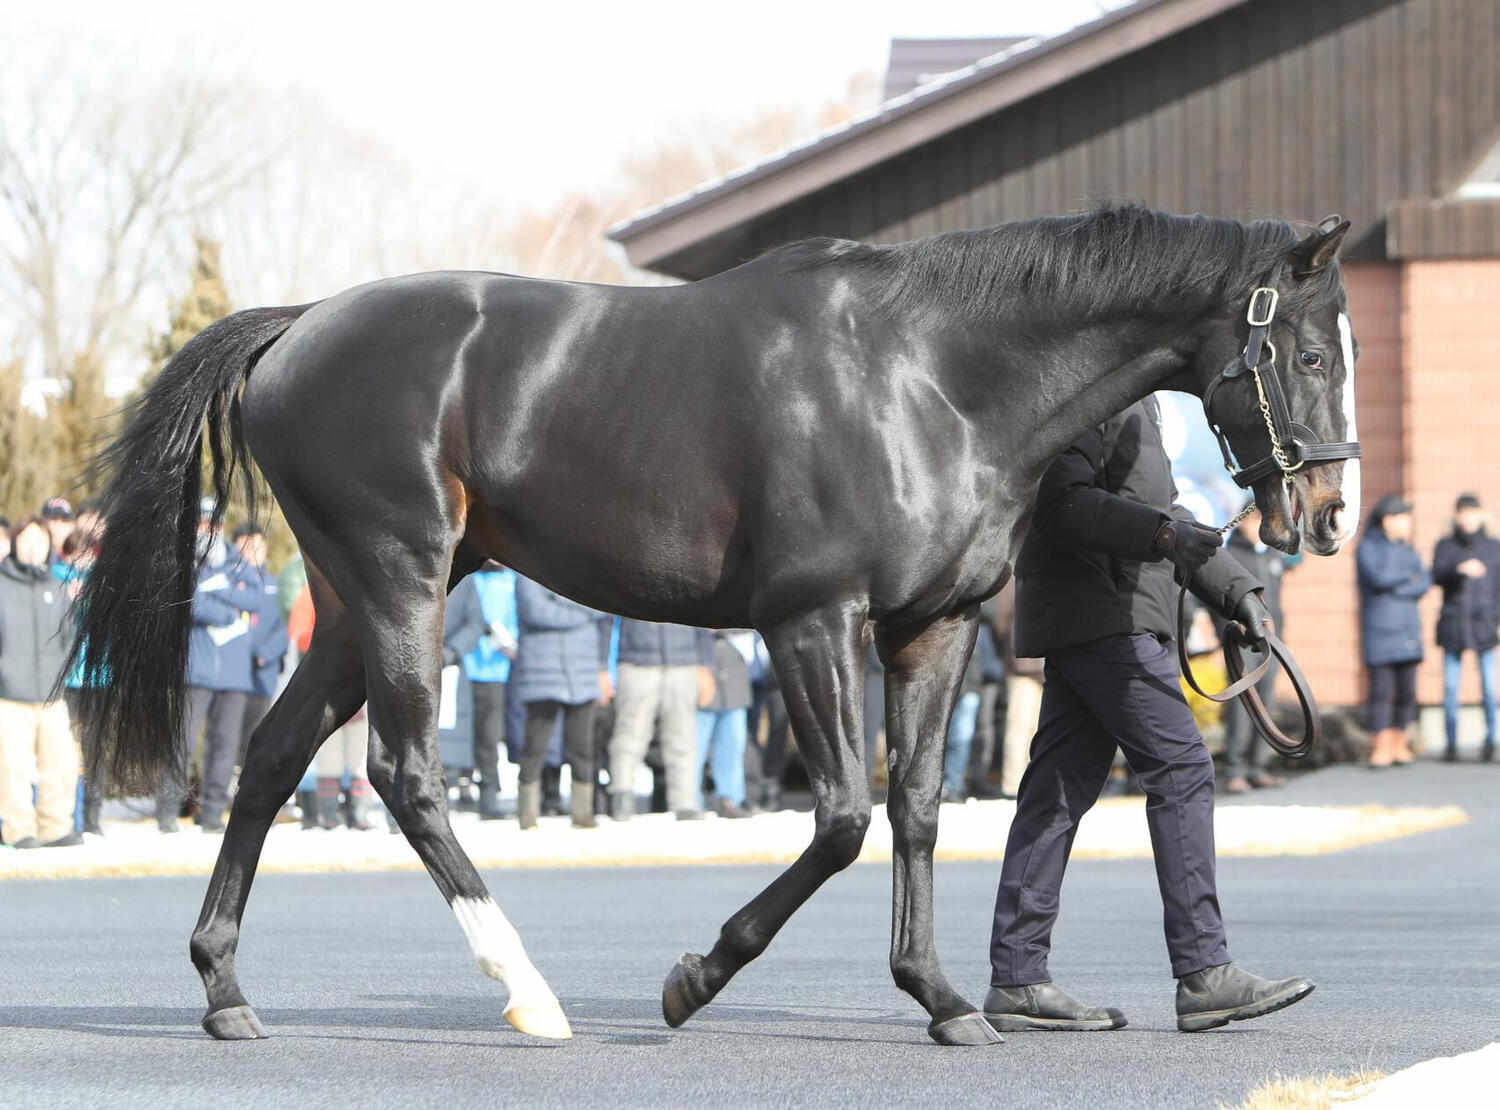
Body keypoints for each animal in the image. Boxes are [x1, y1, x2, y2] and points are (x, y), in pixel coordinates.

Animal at [71, 204, 1360, 1048]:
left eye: (1342, 349)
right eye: (1302, 350)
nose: (1327, 514)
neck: (932, 374)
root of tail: (299, 327)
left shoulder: (932, 627)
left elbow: (918, 808)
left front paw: (944, 1000)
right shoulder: (811, 621)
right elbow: (839, 818)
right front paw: (694, 977)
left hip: (349, 603)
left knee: (271, 760)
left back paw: (225, 992)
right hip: (400, 583)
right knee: (403, 773)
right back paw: (528, 993)